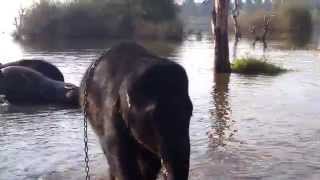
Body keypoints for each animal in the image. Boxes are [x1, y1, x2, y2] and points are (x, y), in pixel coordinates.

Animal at [81, 41, 194, 179]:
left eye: (190, 113)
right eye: (153, 117)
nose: (166, 172)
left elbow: (150, 164)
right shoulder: (111, 113)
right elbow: (121, 159)